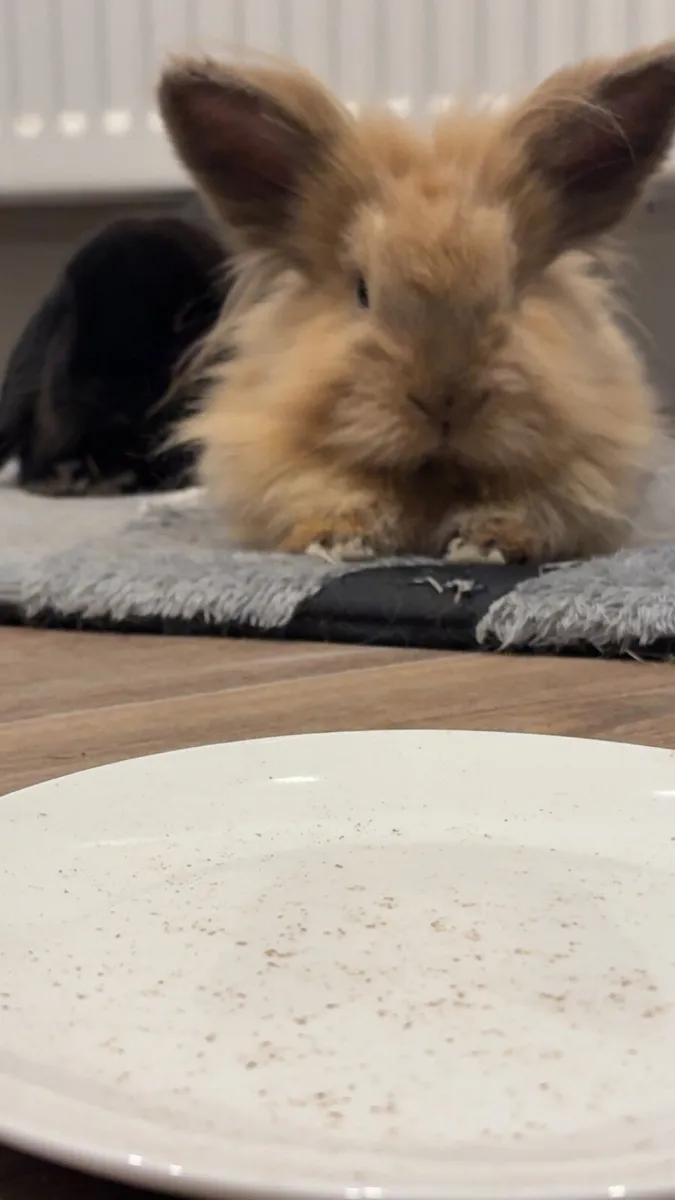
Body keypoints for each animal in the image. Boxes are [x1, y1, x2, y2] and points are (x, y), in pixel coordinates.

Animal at [158, 42, 675, 562]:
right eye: (362, 291)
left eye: (511, 287)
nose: (445, 402)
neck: (434, 482)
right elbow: (327, 492)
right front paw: (338, 542)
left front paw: (485, 544)